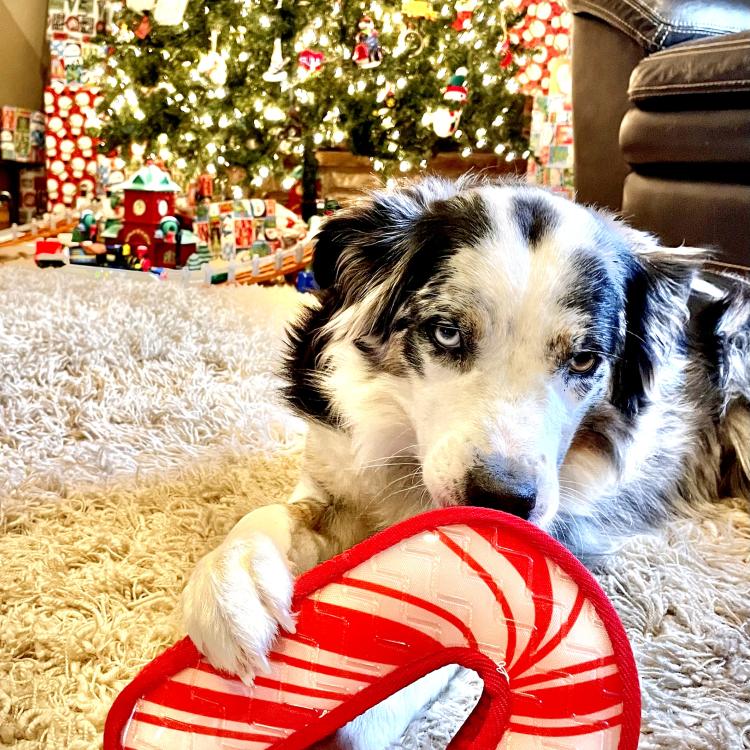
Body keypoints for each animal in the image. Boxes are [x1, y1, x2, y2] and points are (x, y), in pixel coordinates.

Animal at [184, 178, 750, 750]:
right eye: (448, 333)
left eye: (584, 359)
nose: (501, 501)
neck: (410, 459)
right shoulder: (333, 474)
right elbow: (273, 514)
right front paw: (233, 586)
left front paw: (357, 709)